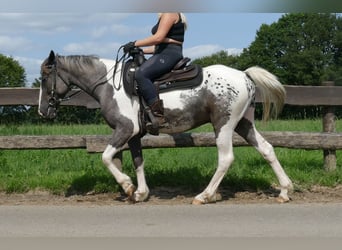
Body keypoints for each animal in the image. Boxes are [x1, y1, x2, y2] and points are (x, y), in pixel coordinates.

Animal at [38, 49, 294, 204]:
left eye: (44, 77)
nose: (42, 111)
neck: (111, 85)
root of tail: (245, 75)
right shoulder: (134, 135)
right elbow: (138, 161)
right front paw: (141, 193)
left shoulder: (125, 129)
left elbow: (106, 157)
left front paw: (127, 187)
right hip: (243, 123)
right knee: (267, 149)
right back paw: (284, 190)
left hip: (224, 125)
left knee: (226, 159)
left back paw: (204, 195)